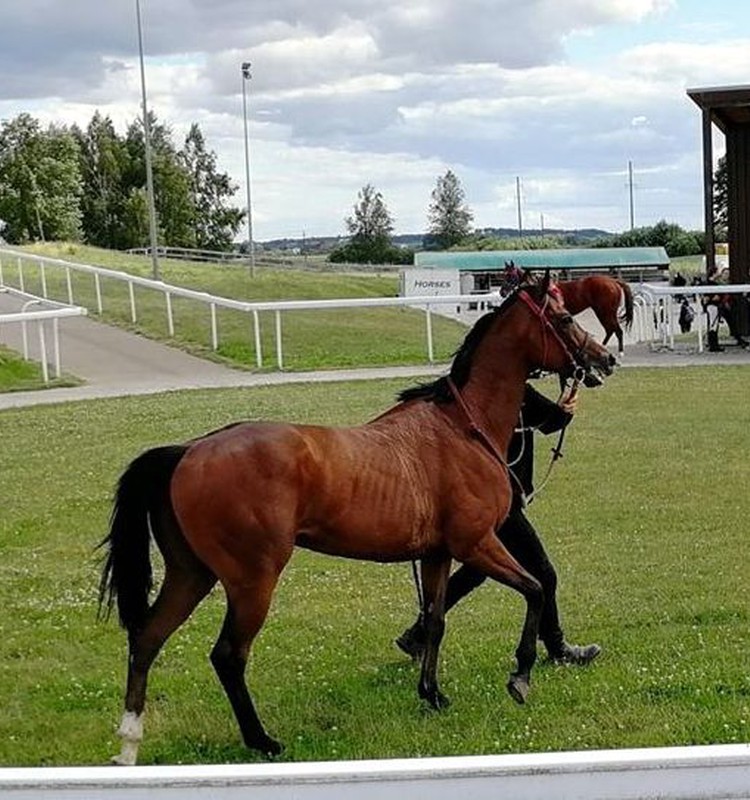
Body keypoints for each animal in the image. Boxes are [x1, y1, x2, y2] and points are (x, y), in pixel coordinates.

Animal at [98, 274, 616, 764]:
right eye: (565, 319)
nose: (604, 360)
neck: (462, 429)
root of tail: (188, 451)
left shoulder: (438, 554)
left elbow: (434, 621)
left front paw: (432, 694)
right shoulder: (477, 544)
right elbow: (534, 588)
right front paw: (521, 675)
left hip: (191, 574)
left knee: (147, 638)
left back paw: (129, 743)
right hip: (251, 582)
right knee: (228, 655)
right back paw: (262, 740)